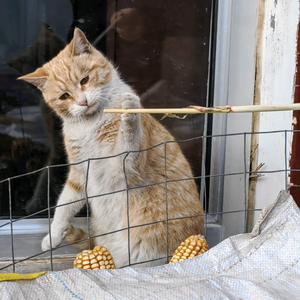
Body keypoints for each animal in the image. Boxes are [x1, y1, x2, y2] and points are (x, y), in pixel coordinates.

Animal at [18, 28, 204, 268]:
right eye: (64, 96)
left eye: (85, 80)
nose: (83, 102)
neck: (90, 124)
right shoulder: (80, 173)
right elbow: (64, 205)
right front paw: (54, 235)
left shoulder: (123, 167)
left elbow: (128, 136)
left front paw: (129, 111)